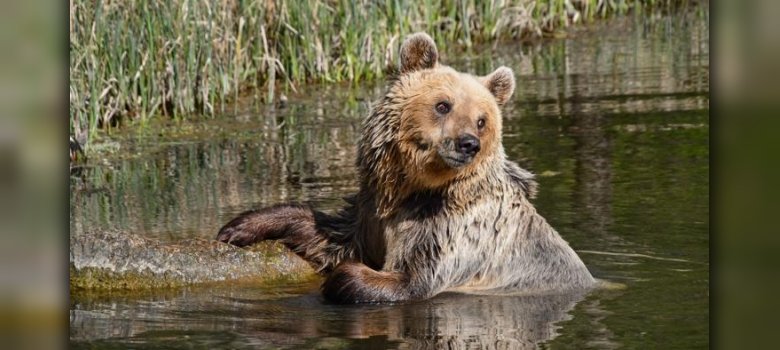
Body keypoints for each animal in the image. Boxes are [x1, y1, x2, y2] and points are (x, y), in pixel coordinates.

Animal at [216, 31, 596, 302]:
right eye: (443, 105)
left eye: (482, 120)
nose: (467, 144)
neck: (412, 189)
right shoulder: (373, 215)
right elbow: (332, 235)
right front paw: (240, 226)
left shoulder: (454, 233)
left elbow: (411, 280)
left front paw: (338, 281)